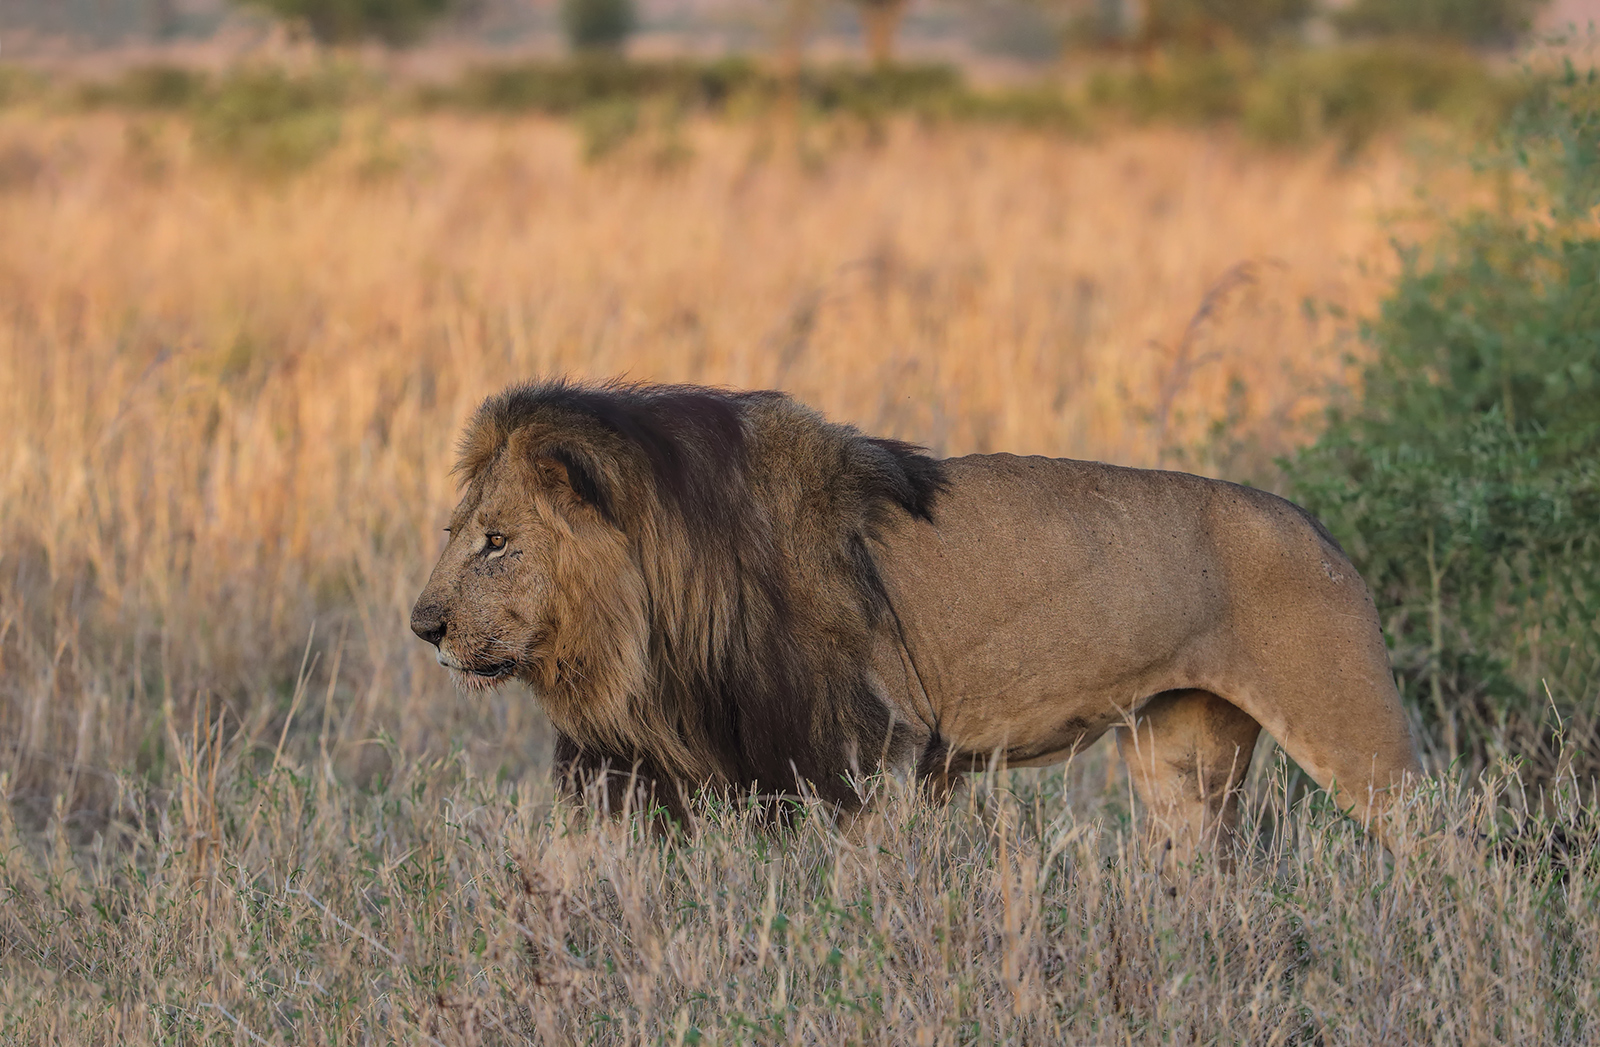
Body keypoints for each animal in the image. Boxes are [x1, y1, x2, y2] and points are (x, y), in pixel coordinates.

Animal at [410, 380, 1421, 865]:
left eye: (497, 542)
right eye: (456, 532)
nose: (423, 625)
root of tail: (1318, 526)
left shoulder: (865, 752)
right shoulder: (639, 768)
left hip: (1350, 726)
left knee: (1443, 843)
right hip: (1182, 754)